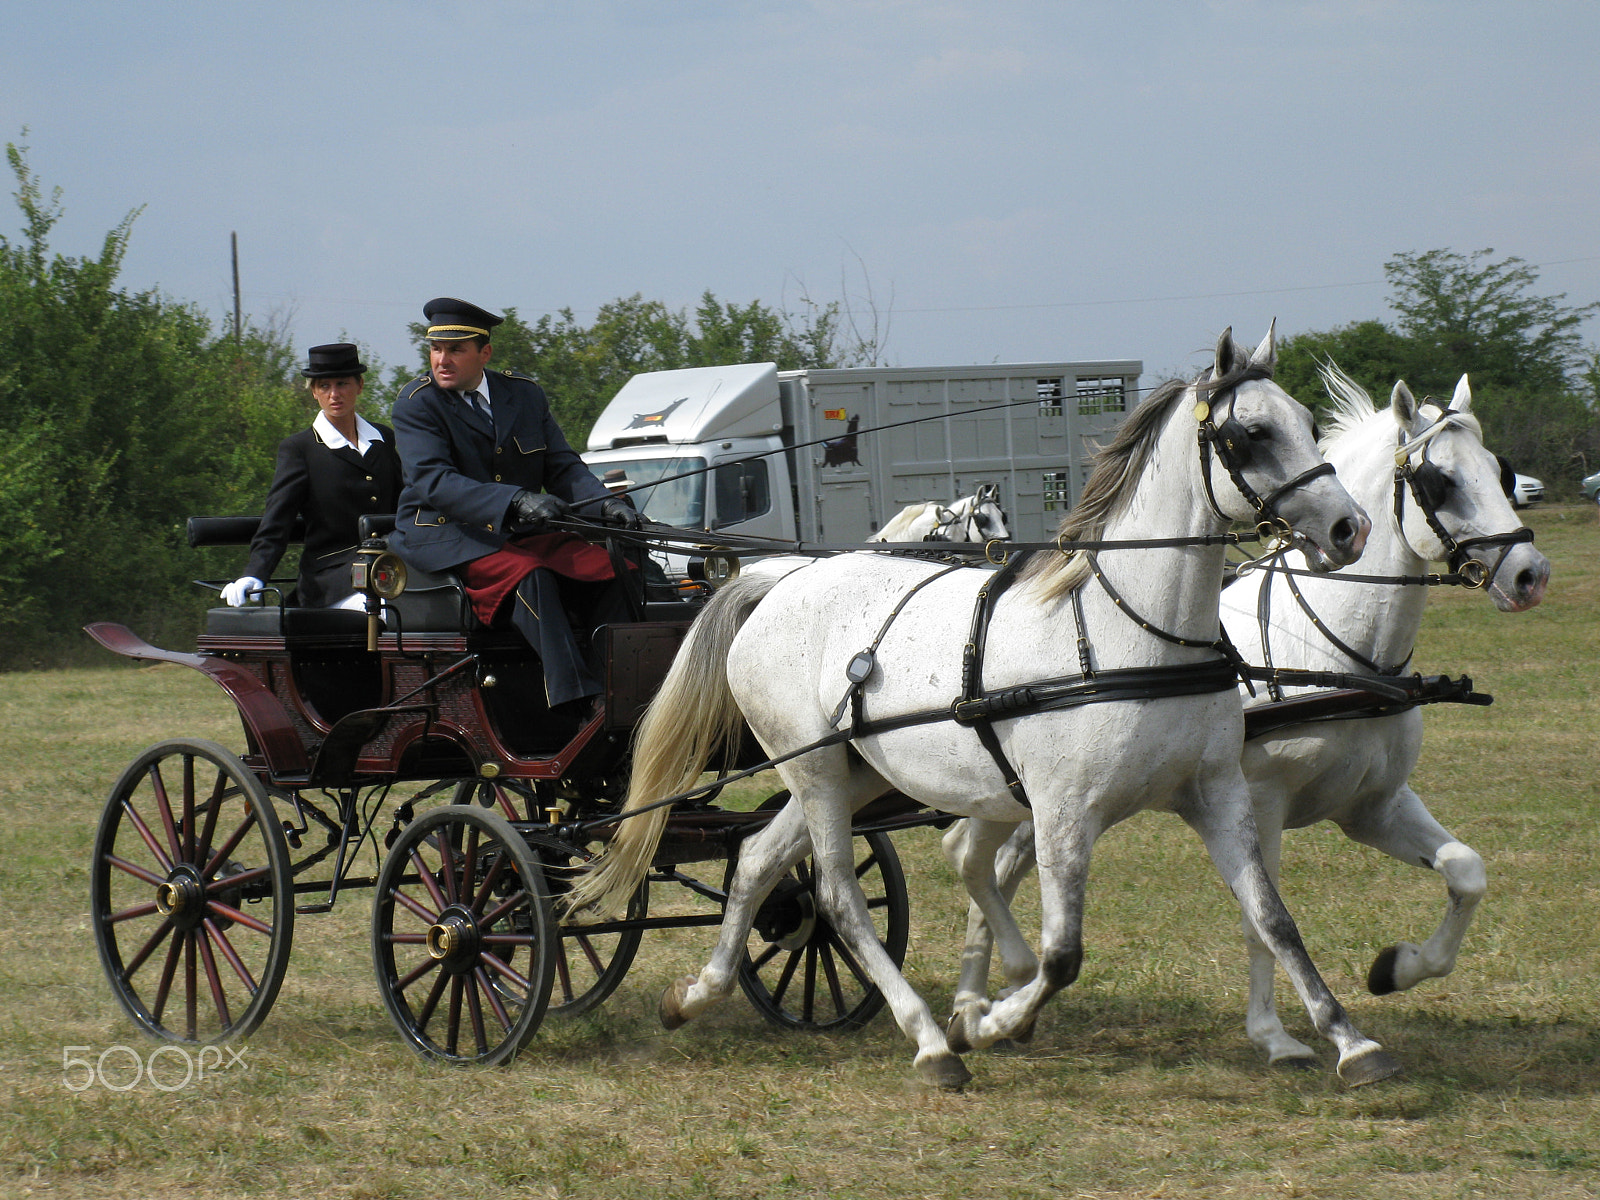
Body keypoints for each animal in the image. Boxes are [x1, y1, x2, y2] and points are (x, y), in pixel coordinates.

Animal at [940, 361, 1542, 1068]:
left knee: (989, 867)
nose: (1530, 574)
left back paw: (982, 1006)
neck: (1331, 652)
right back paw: (978, 1006)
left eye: (1500, 471)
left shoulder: (1373, 805)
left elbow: (1466, 872)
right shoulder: (1262, 800)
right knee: (981, 865)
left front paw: (1397, 968)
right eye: (1438, 481)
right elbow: (1265, 920)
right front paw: (1277, 1035)